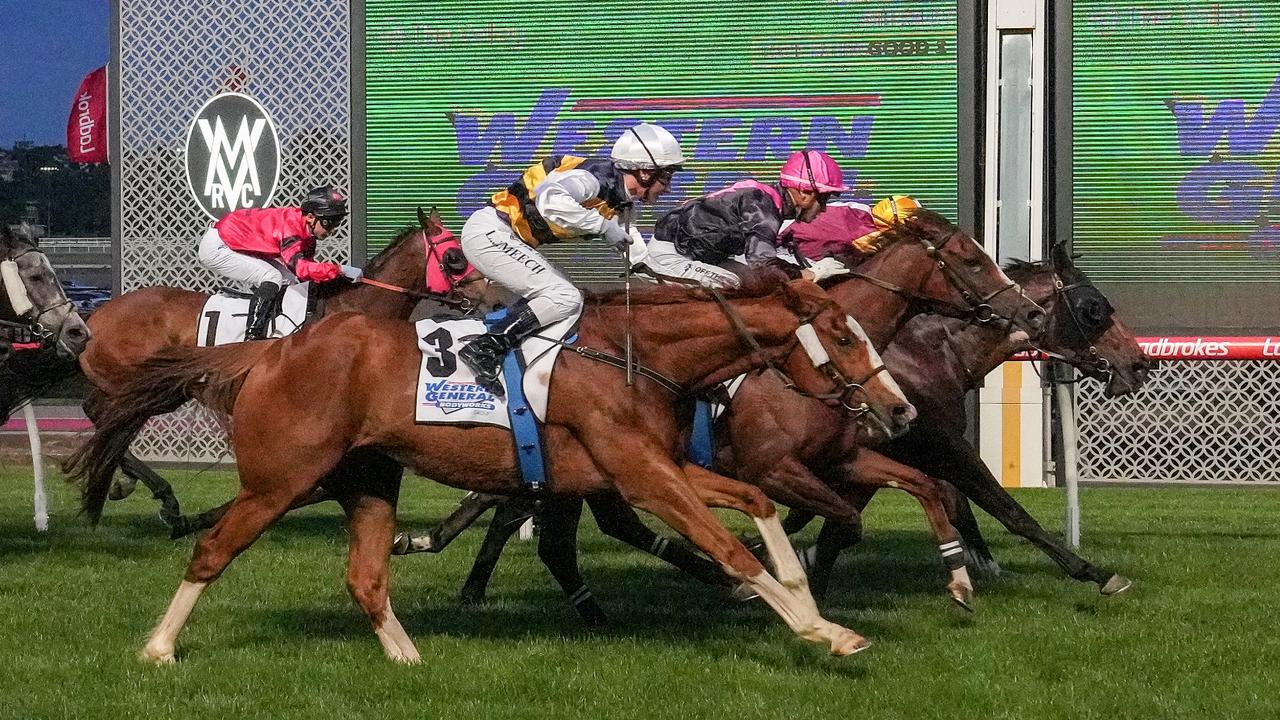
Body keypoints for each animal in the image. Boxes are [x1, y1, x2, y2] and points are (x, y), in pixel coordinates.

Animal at [70, 274, 916, 661]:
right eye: (844, 336)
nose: (901, 408)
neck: (637, 357)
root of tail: (269, 351)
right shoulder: (641, 474)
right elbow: (728, 545)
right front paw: (822, 630)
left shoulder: (657, 466)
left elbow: (757, 507)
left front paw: (808, 597)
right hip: (281, 478)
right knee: (214, 547)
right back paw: (158, 647)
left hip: (368, 481)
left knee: (365, 575)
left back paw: (408, 657)